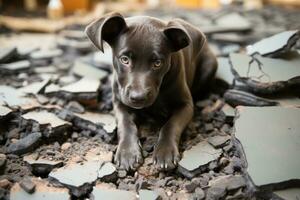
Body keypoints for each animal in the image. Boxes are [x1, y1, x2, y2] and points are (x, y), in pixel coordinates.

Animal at [85, 11, 217, 171]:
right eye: (124, 59)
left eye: (157, 63)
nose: (138, 97)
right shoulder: (120, 103)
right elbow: (125, 124)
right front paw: (128, 152)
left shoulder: (186, 106)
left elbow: (171, 125)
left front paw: (165, 151)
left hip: (210, 65)